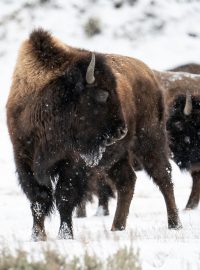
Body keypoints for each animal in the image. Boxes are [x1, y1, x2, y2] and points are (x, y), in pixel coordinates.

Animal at [6, 29, 181, 240]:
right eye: (102, 94)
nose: (121, 130)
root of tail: (149, 74)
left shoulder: (73, 163)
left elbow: (64, 198)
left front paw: (65, 235)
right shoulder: (24, 160)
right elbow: (38, 200)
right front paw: (37, 236)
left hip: (149, 141)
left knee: (164, 177)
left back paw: (174, 224)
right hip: (118, 156)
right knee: (127, 181)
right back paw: (117, 227)